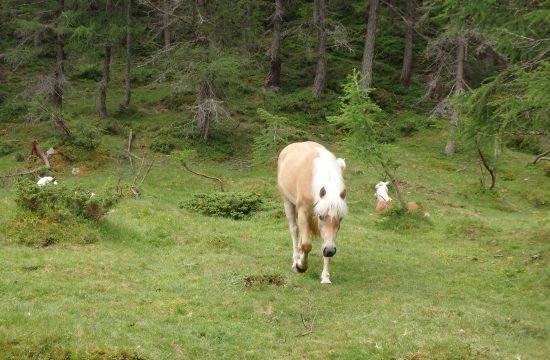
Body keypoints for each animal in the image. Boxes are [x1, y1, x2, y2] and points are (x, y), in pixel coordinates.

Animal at [278, 141, 348, 284]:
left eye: (340, 218)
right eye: (321, 217)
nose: (330, 251)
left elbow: (324, 241)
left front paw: (325, 277)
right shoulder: (304, 211)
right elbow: (306, 244)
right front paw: (301, 266)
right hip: (288, 202)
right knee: (294, 230)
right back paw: (295, 260)